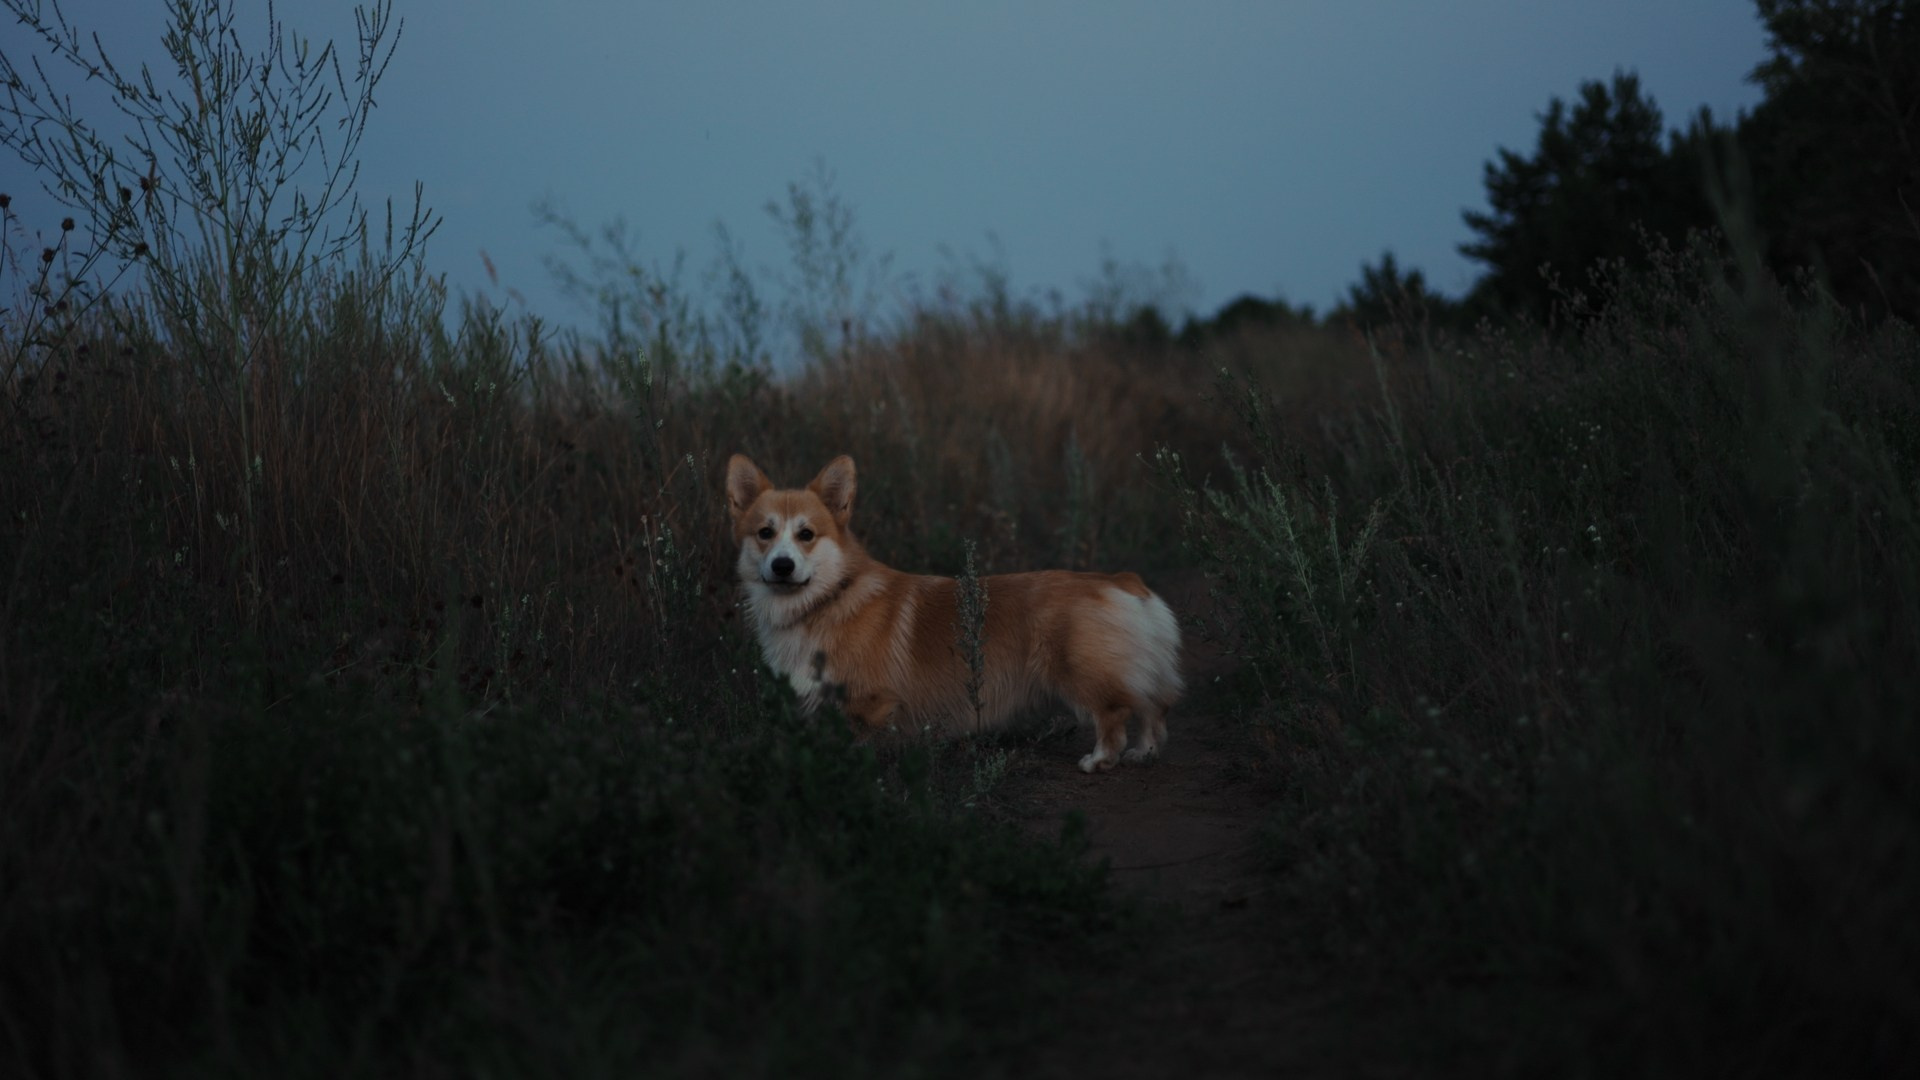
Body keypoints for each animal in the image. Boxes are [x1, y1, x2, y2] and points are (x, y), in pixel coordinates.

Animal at [726, 453, 1183, 772]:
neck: (827, 598)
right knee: (1154, 709)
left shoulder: (870, 704)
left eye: (806, 534)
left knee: (1116, 712)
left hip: (1081, 673)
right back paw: (1145, 753)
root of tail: (1121, 579)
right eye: (765, 533)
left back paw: (1101, 760)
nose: (782, 566)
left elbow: (862, 748)